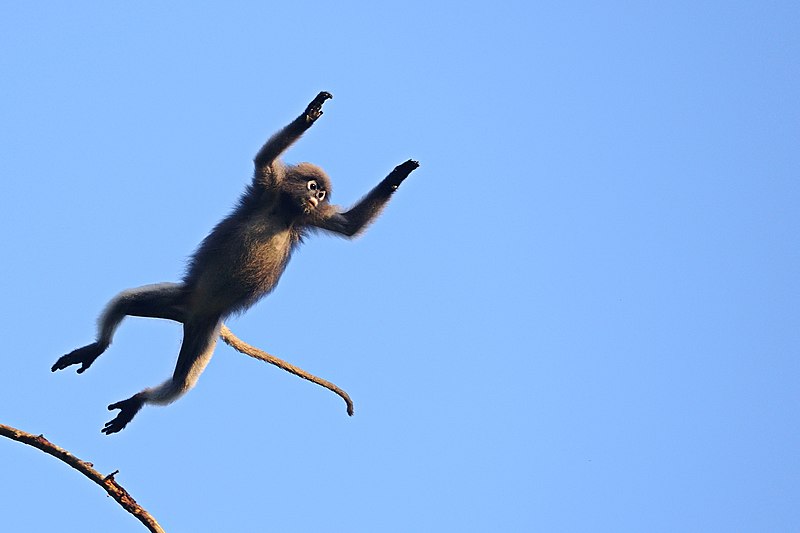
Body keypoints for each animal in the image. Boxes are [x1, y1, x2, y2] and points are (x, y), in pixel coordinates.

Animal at [50, 91, 422, 432]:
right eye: (313, 187)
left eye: (321, 194)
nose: (317, 198)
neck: (284, 212)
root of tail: (191, 314)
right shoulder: (268, 186)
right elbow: (265, 158)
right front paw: (311, 112)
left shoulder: (310, 218)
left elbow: (349, 227)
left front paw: (397, 176)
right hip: (182, 301)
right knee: (125, 303)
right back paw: (98, 347)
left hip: (204, 328)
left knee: (180, 381)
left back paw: (137, 400)